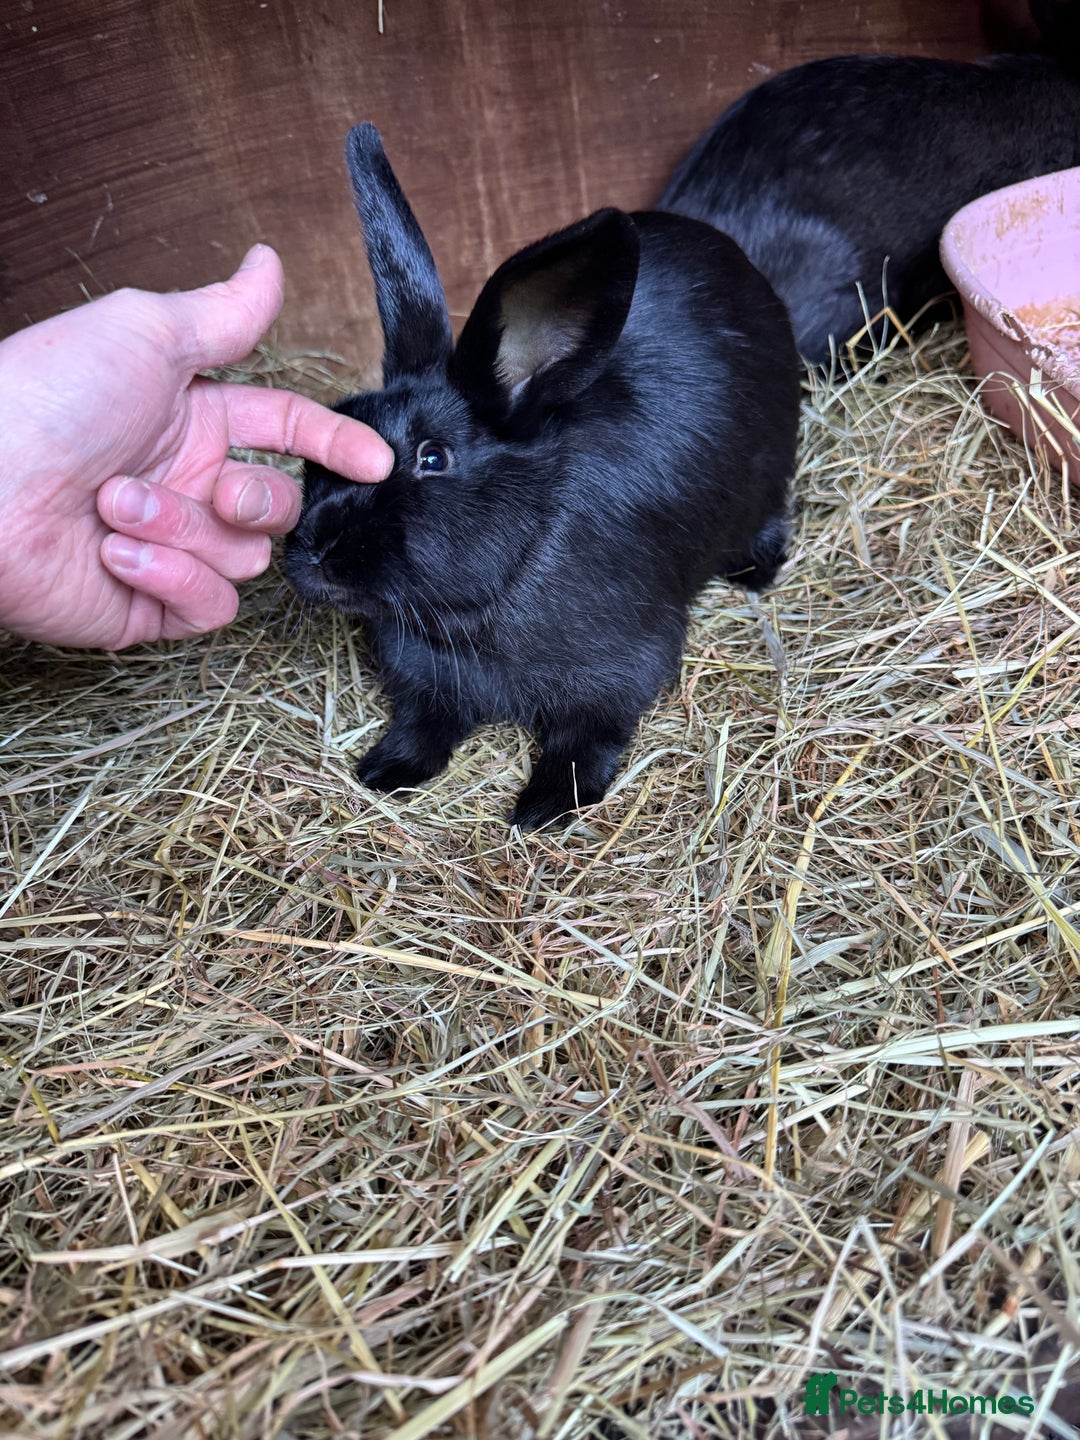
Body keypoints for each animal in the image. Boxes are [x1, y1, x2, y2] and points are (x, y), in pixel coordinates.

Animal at [285, 123, 800, 830]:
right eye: (330, 437)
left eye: (433, 458)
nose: (313, 550)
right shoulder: (426, 680)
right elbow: (423, 727)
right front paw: (386, 772)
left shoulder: (620, 671)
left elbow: (586, 740)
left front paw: (544, 808)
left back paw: (757, 571)